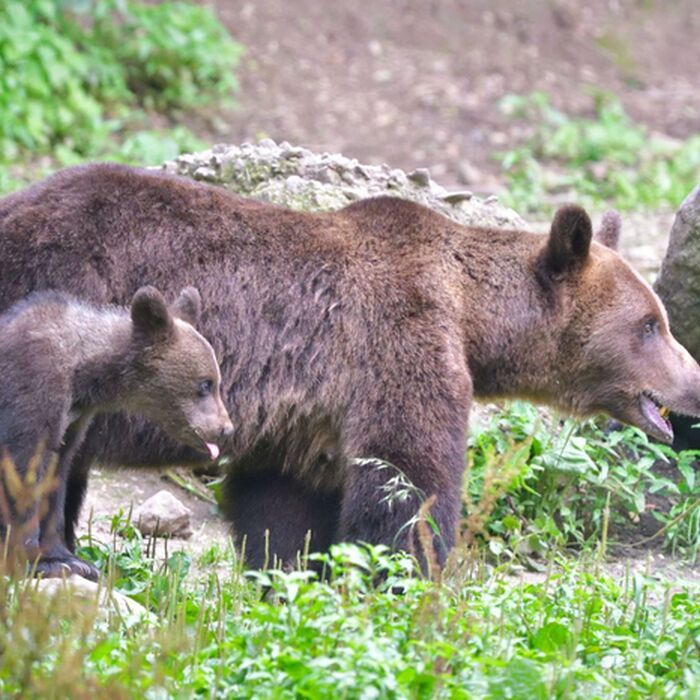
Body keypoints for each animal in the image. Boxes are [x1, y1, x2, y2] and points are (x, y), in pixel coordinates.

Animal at [0, 284, 233, 580]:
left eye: (216, 381)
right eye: (205, 384)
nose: (226, 429)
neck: (84, 373)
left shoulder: (73, 422)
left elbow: (57, 480)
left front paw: (72, 560)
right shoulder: (33, 387)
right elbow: (23, 471)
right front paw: (35, 562)